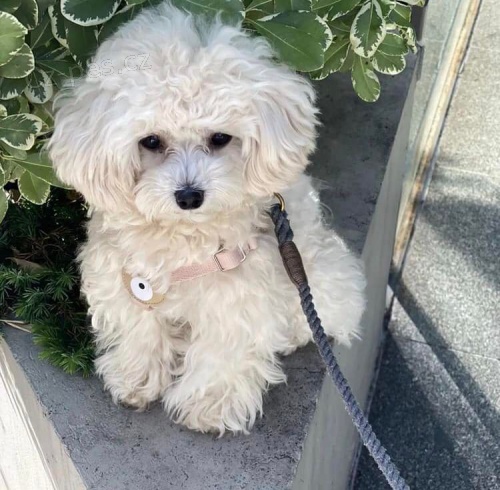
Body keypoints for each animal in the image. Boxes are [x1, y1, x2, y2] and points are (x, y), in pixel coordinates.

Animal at [48, 2, 366, 432]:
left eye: (219, 138)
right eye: (151, 141)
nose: (189, 196)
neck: (183, 239)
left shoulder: (238, 293)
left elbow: (224, 349)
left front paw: (211, 404)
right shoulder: (125, 277)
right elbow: (140, 329)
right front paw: (136, 377)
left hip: (322, 277)